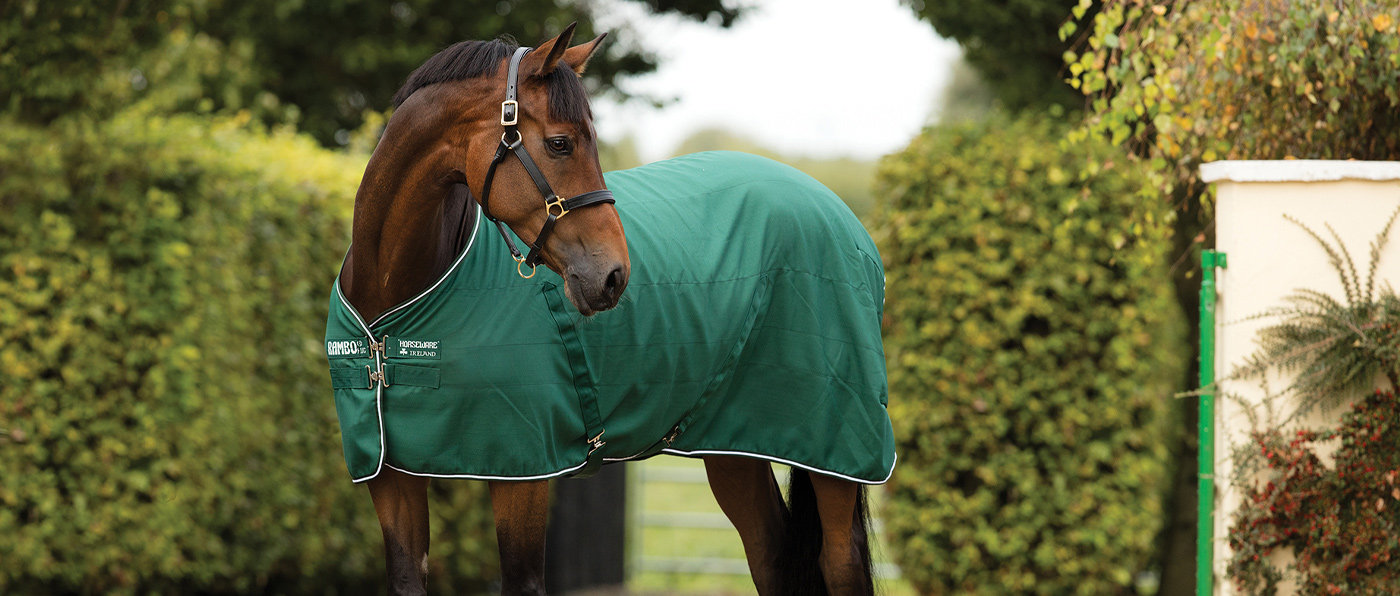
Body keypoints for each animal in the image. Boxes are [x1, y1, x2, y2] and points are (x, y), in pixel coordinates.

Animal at [327, 24, 894, 596]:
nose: (614, 275)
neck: (395, 304)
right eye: (560, 142)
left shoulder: (523, 473)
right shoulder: (391, 477)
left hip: (834, 449)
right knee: (770, 554)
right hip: (735, 446)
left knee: (839, 561)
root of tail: (839, 212)